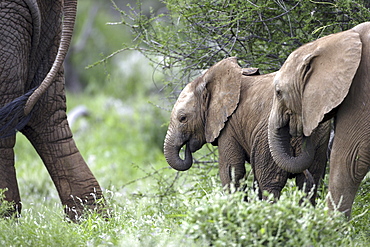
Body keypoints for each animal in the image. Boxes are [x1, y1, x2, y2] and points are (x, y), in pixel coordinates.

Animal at [163, 57, 330, 203]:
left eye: (183, 118)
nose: (187, 147)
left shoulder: (228, 127)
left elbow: (231, 172)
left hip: (268, 139)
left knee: (269, 183)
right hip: (319, 137)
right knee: (310, 182)